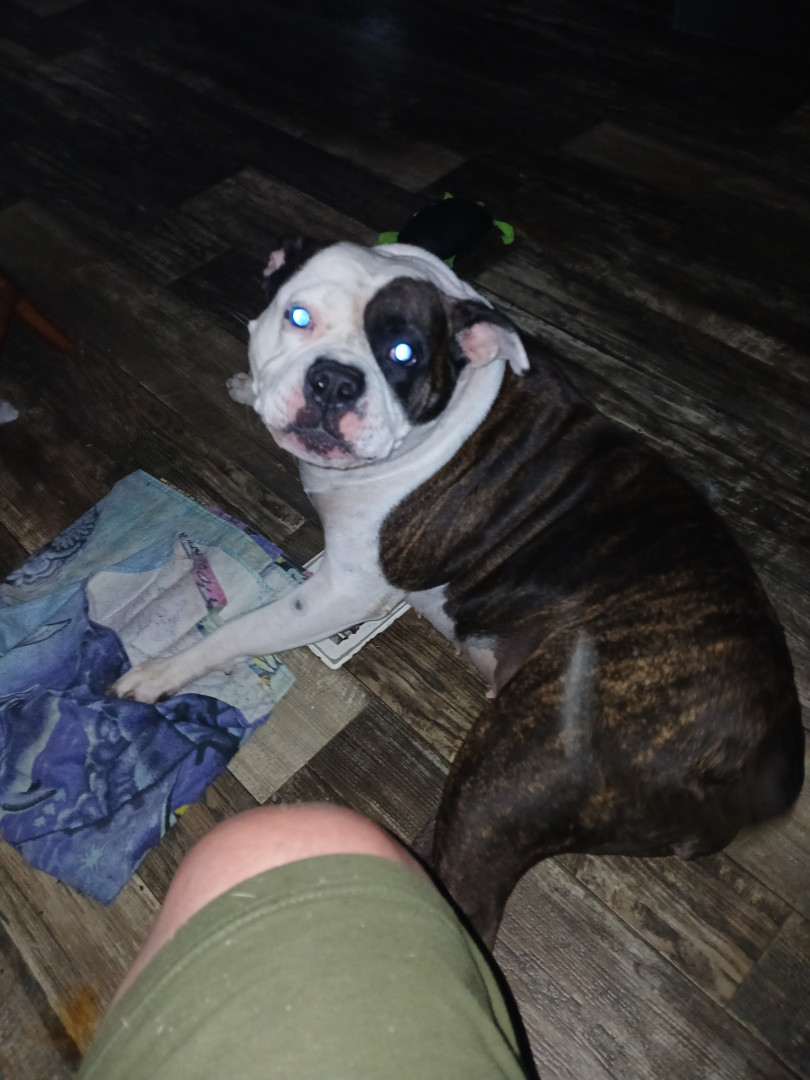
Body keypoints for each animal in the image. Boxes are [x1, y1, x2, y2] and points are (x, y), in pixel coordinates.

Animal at [114, 239, 804, 947]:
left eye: (403, 354)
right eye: (298, 317)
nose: (334, 381)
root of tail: (753, 755)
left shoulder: (341, 593)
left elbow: (242, 629)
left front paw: (164, 672)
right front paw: (248, 384)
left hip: (502, 779)